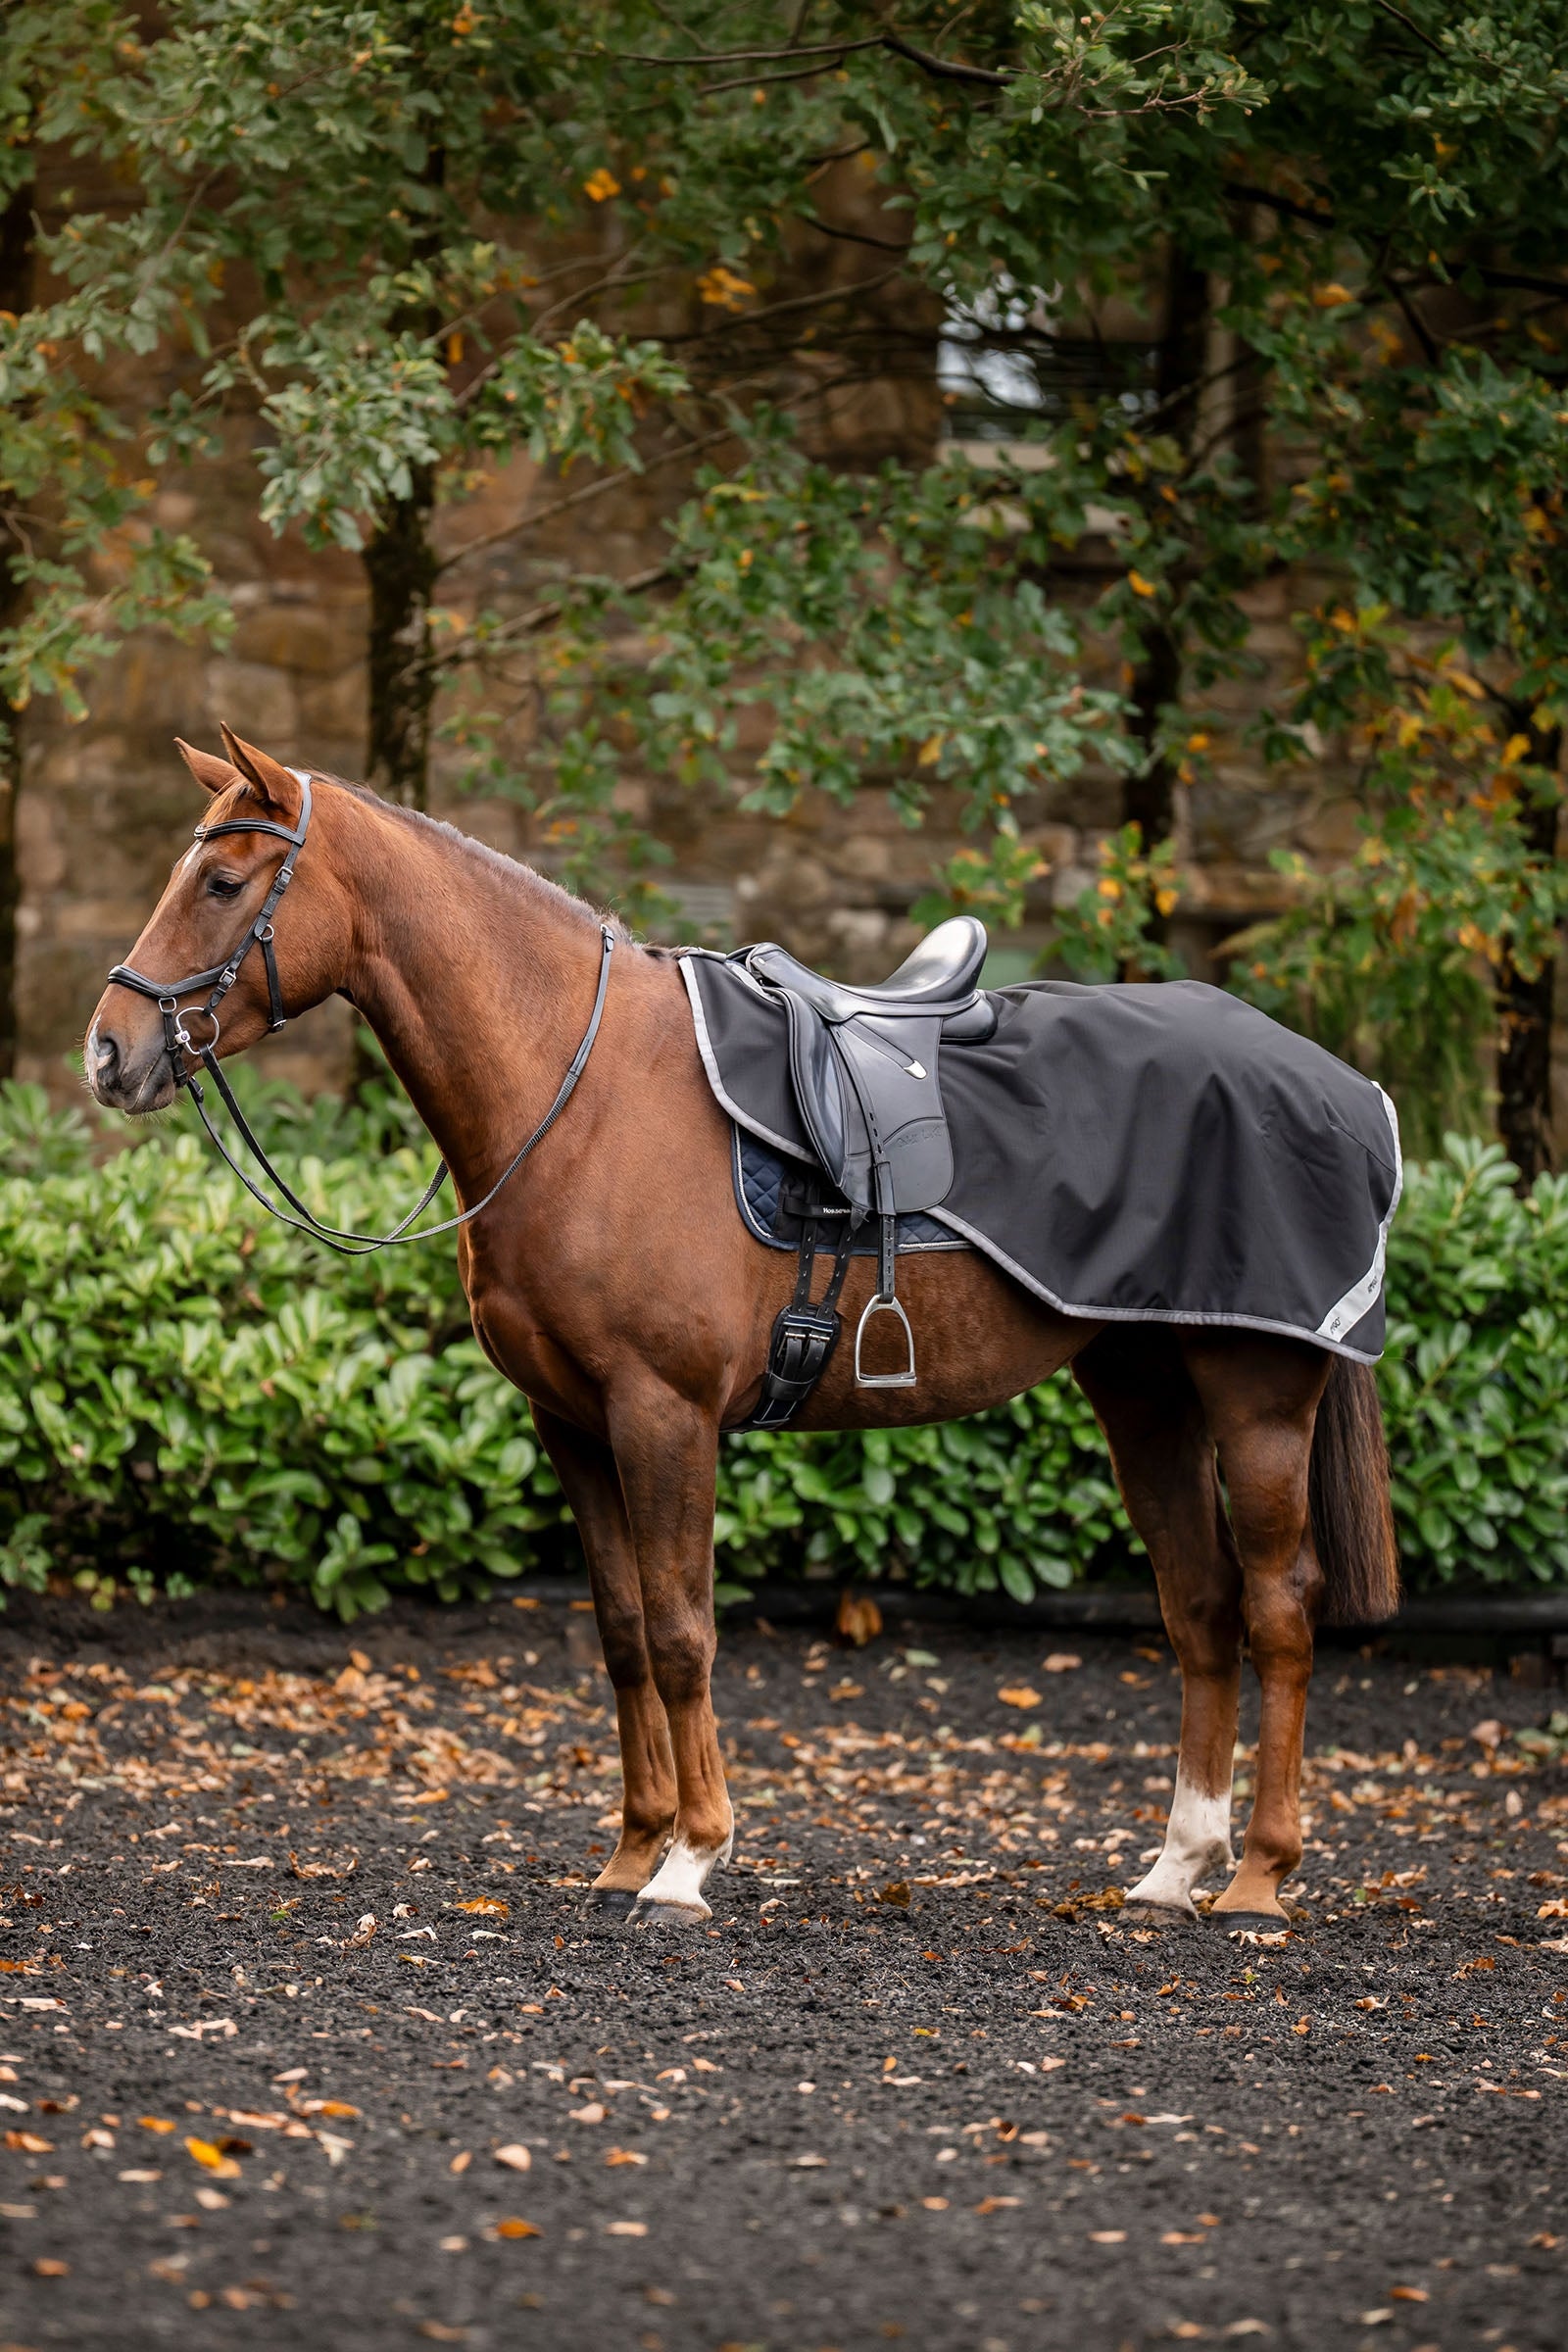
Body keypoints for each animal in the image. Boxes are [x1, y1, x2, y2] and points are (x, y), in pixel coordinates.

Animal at [86, 730, 1400, 1932]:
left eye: (221, 883)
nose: (110, 1052)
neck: (581, 1092)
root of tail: (1338, 1084)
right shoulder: (571, 1423)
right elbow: (622, 1632)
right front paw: (629, 1851)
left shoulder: (662, 1414)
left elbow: (681, 1632)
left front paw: (690, 1860)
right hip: (1145, 1392)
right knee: (1201, 1606)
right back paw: (1175, 1868)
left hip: (1255, 1394)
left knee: (1280, 1607)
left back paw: (1258, 1877)